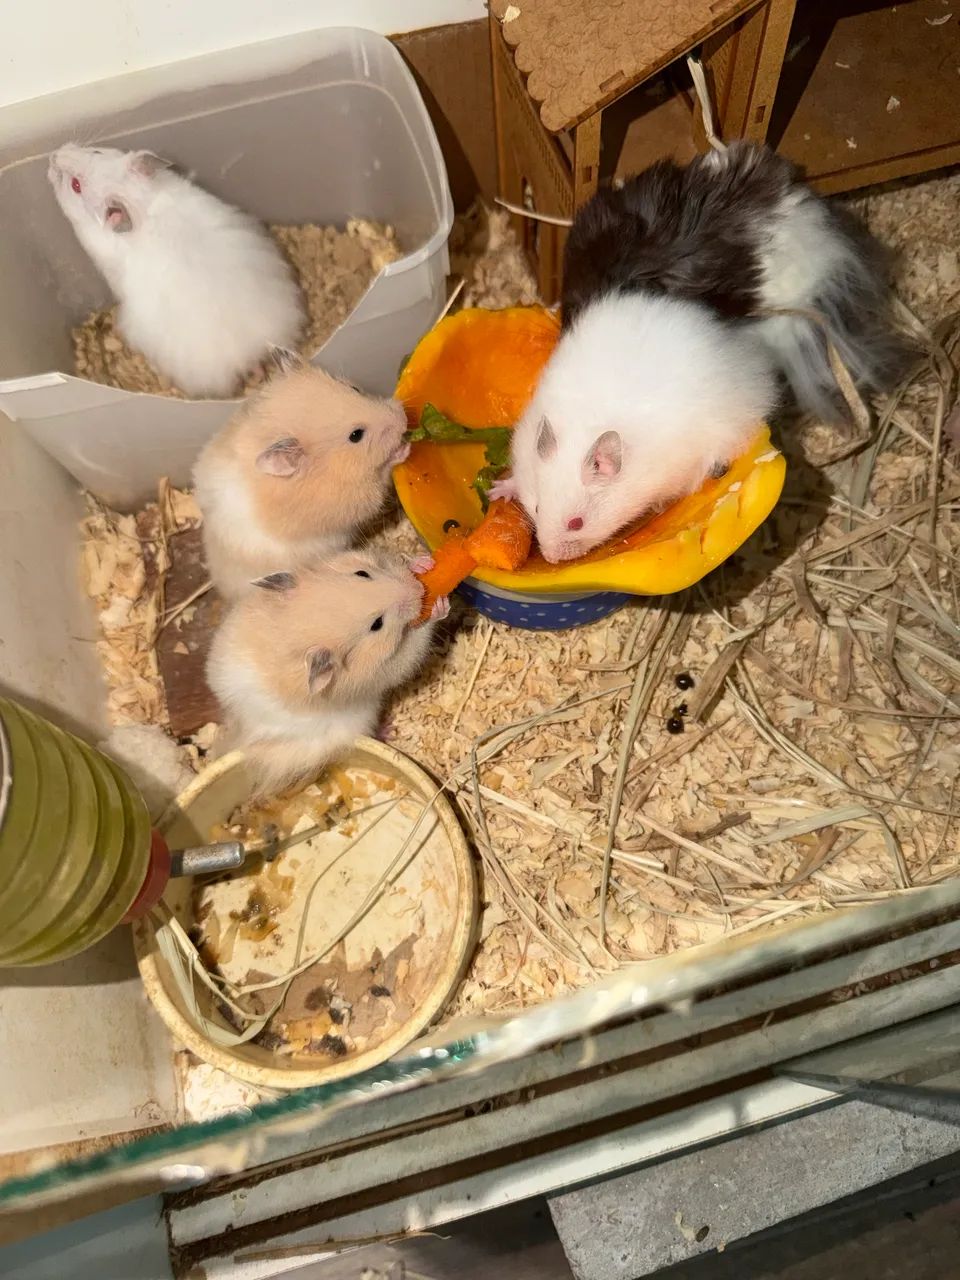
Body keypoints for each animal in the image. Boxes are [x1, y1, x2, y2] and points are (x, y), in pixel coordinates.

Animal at [193, 350, 410, 600]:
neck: (331, 465)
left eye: (354, 389)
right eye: (356, 435)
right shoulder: (354, 499)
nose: (403, 417)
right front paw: (404, 449)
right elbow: (380, 481)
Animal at [206, 547, 446, 796]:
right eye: (376, 624)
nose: (418, 589)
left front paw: (422, 564)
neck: (287, 633)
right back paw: (389, 729)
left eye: (362, 573)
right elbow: (414, 646)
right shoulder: (383, 671)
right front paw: (439, 606)